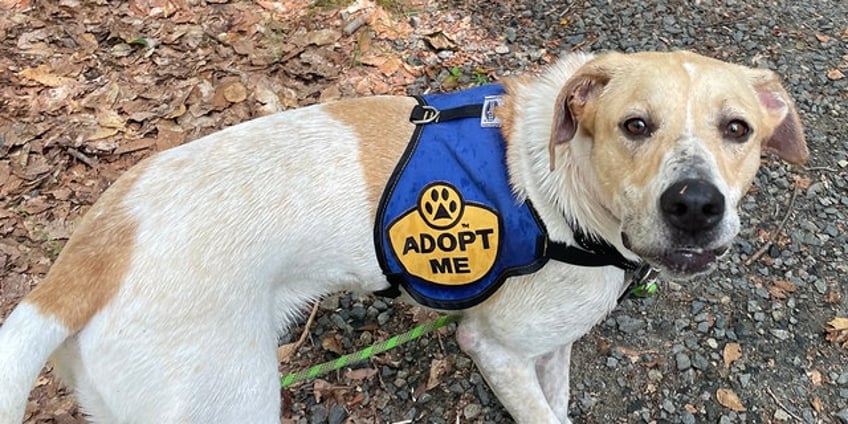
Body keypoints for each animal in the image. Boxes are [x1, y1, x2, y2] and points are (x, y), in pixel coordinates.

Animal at [0, 51, 808, 422]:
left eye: (738, 129)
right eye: (634, 126)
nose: (696, 205)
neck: (565, 188)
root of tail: (92, 253)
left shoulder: (551, 349)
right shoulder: (495, 349)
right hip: (228, 402)